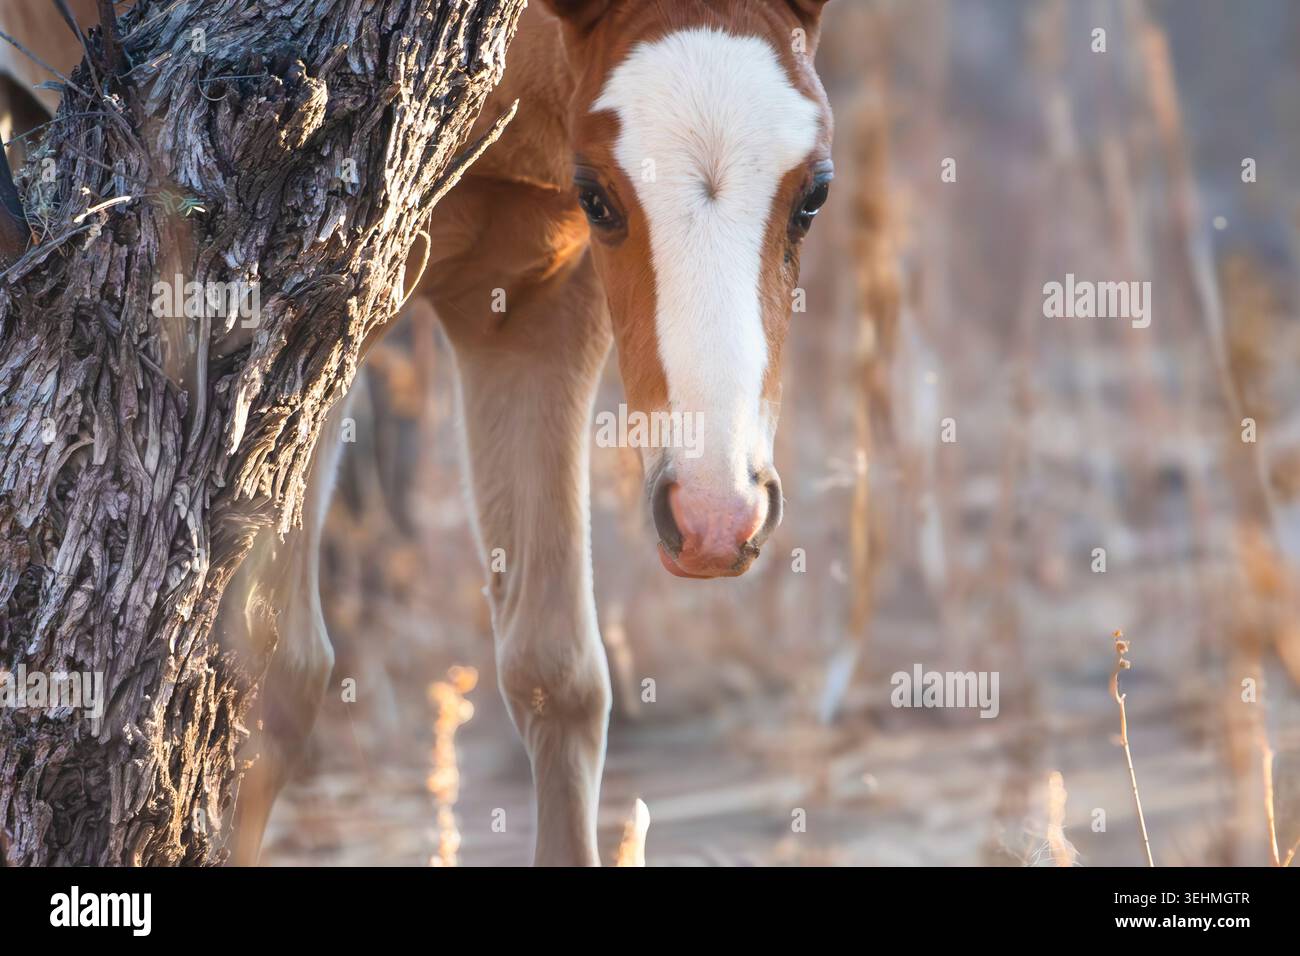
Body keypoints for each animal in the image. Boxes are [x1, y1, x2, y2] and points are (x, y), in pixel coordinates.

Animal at [0, 0, 835, 866]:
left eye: (814, 195)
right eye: (599, 197)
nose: (714, 519)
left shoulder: (538, 314)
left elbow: (558, 669)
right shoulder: (319, 316)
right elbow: (272, 679)